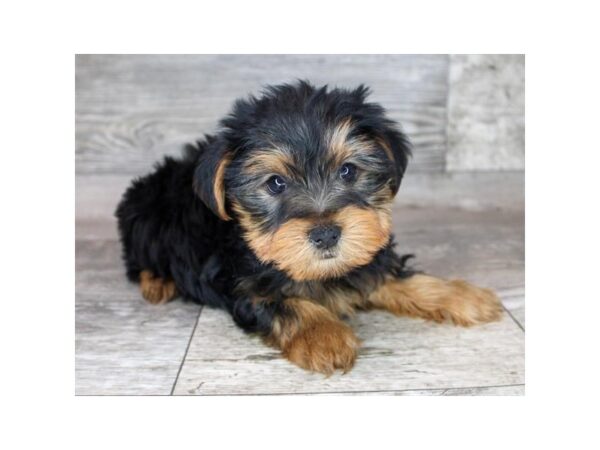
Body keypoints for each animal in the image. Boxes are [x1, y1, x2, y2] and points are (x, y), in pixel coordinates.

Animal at [113, 81, 502, 376]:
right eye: (275, 184)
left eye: (347, 171)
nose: (326, 233)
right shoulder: (242, 285)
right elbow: (285, 303)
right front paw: (325, 336)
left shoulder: (366, 256)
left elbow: (394, 274)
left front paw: (460, 295)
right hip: (144, 220)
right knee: (139, 260)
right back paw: (158, 282)